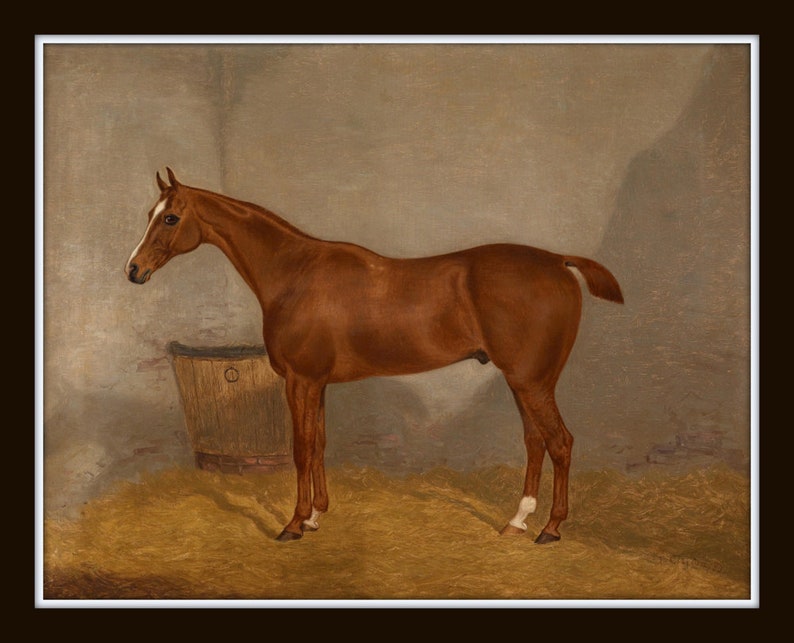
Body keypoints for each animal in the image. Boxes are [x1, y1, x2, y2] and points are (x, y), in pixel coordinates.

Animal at [126, 168, 623, 544]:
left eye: (170, 218)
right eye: (149, 214)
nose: (133, 269)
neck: (293, 273)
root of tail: (557, 260)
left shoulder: (300, 380)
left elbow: (301, 449)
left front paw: (293, 524)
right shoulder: (317, 383)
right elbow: (320, 444)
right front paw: (316, 516)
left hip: (531, 381)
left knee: (560, 443)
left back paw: (551, 529)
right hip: (523, 381)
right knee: (536, 441)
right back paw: (517, 521)